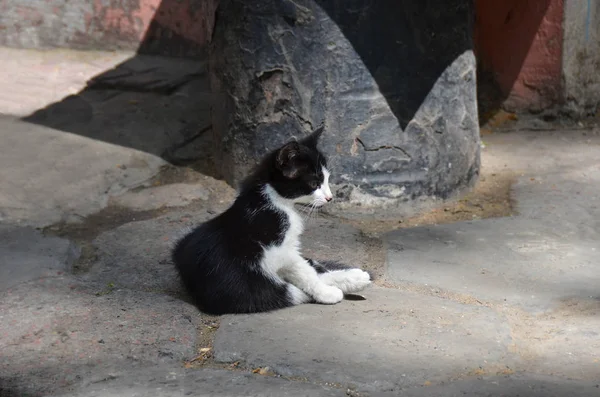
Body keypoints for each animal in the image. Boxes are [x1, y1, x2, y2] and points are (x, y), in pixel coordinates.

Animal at [171, 127, 372, 312]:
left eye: (327, 180)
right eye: (314, 184)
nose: (330, 198)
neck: (275, 200)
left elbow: (309, 266)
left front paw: (349, 279)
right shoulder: (277, 249)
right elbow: (303, 271)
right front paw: (327, 293)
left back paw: (356, 277)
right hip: (240, 284)